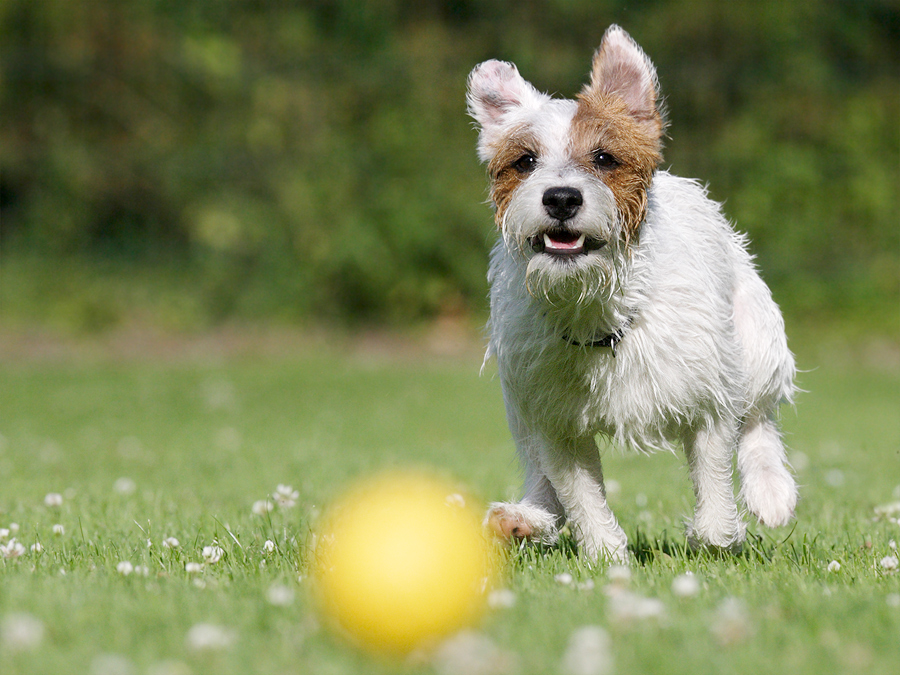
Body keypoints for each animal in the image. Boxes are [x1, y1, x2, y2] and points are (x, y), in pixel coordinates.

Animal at [468, 25, 800, 560]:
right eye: (525, 161)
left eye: (605, 158)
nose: (561, 197)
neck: (593, 306)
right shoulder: (555, 423)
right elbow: (578, 493)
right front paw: (605, 555)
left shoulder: (708, 401)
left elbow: (715, 476)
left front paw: (714, 535)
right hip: (519, 405)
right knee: (541, 476)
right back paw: (526, 517)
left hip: (755, 341)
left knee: (758, 418)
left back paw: (771, 490)